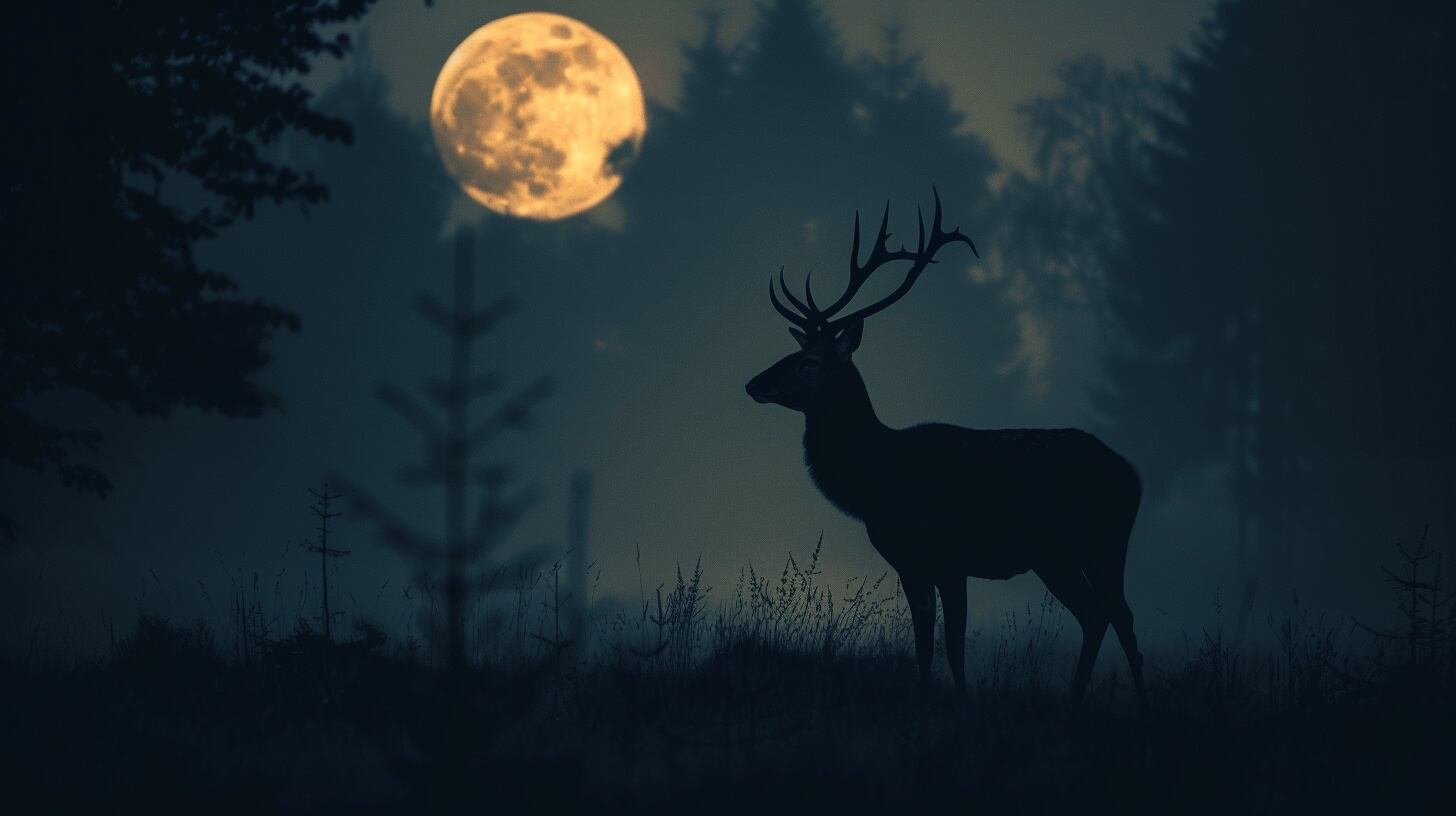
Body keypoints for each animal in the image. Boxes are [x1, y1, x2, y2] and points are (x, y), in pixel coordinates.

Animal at [745, 190, 1147, 708]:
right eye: (795, 352)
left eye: (810, 362)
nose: (754, 383)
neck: (876, 480)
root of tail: (1134, 477)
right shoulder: (913, 566)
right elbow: (924, 647)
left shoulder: (952, 559)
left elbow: (953, 646)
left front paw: (958, 700)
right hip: (1070, 555)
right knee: (1112, 613)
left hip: (1088, 546)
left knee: (1107, 612)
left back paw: (1091, 697)